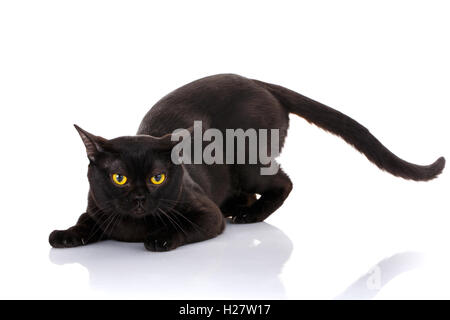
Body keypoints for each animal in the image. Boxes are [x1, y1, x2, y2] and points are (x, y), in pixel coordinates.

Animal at [48, 74, 442, 251]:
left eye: (158, 178)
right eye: (118, 179)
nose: (141, 198)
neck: (133, 225)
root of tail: (257, 80)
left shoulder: (206, 214)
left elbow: (181, 229)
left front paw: (158, 239)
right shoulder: (96, 208)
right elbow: (85, 222)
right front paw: (65, 235)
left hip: (249, 165)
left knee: (283, 182)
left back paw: (250, 215)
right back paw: (241, 210)